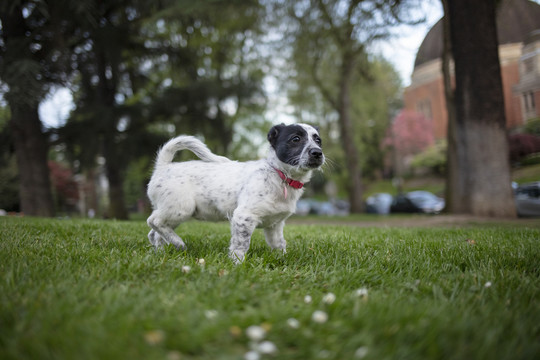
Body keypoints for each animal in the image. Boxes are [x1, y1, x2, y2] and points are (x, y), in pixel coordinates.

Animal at [146, 123, 324, 262]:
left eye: (318, 140)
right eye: (296, 139)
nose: (317, 152)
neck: (279, 175)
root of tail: (163, 166)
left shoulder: (274, 224)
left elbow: (279, 244)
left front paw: (283, 259)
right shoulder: (243, 216)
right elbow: (241, 244)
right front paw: (237, 264)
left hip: (174, 213)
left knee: (155, 234)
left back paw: (161, 254)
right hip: (181, 208)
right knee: (153, 221)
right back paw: (178, 243)